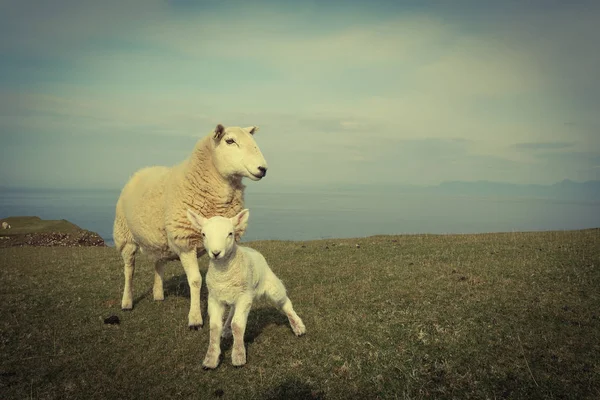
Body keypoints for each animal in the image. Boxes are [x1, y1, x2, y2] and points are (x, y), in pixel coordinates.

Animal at [113, 124, 268, 328]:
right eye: (230, 141)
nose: (263, 168)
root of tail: (140, 171)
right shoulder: (185, 242)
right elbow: (195, 281)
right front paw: (195, 319)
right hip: (125, 236)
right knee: (129, 269)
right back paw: (127, 302)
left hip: (160, 239)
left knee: (158, 263)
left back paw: (158, 294)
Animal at [186, 209, 304, 368]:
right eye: (204, 234)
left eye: (230, 233)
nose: (216, 253)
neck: (223, 273)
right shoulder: (215, 298)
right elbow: (214, 328)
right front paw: (211, 359)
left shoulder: (244, 297)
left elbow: (238, 325)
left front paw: (238, 356)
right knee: (232, 311)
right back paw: (226, 330)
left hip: (271, 285)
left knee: (285, 302)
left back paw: (298, 326)